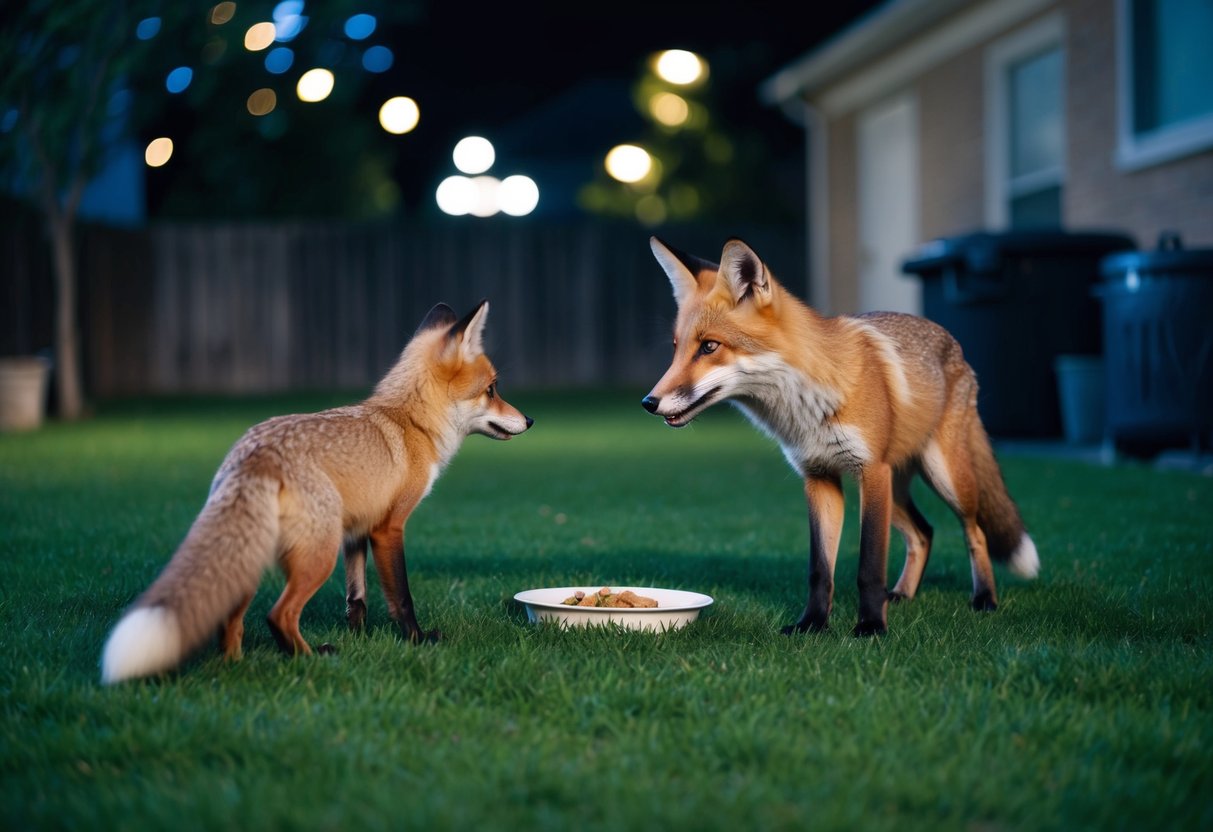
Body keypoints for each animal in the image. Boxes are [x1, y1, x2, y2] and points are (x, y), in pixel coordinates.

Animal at [101, 300, 532, 684]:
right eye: (492, 389)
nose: (529, 420)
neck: (410, 423)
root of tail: (254, 453)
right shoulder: (388, 527)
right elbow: (402, 597)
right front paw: (417, 641)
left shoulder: (356, 531)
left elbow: (356, 598)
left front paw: (361, 639)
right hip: (317, 556)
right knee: (278, 615)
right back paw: (312, 658)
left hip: (252, 557)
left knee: (231, 624)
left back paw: (237, 667)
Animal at [641, 237, 1039, 636]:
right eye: (676, 348)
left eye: (709, 346)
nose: (648, 402)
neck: (806, 405)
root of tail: (953, 343)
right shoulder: (820, 477)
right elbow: (820, 569)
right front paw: (812, 624)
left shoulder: (871, 471)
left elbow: (869, 566)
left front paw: (871, 627)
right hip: (894, 490)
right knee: (924, 532)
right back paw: (903, 594)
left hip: (943, 478)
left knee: (975, 532)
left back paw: (984, 599)